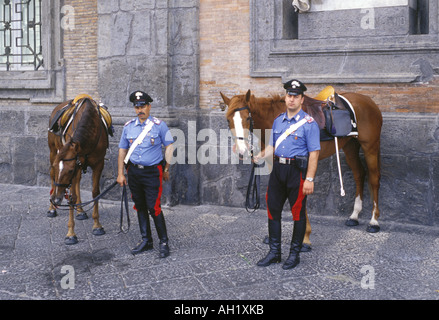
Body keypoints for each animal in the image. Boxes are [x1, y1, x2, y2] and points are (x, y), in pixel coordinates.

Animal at [46, 95, 110, 245]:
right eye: (57, 168)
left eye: (69, 171)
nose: (56, 200)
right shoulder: (75, 163)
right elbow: (72, 196)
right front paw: (70, 233)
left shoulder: (97, 164)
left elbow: (95, 192)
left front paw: (97, 225)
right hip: (53, 151)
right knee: (53, 177)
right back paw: (52, 210)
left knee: (77, 183)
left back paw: (80, 211)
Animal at [222, 89, 384, 249]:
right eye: (228, 120)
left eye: (247, 118)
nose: (241, 151)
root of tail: (368, 101)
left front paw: (305, 238)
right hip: (350, 145)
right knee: (359, 174)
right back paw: (354, 215)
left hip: (370, 147)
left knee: (374, 179)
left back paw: (374, 221)